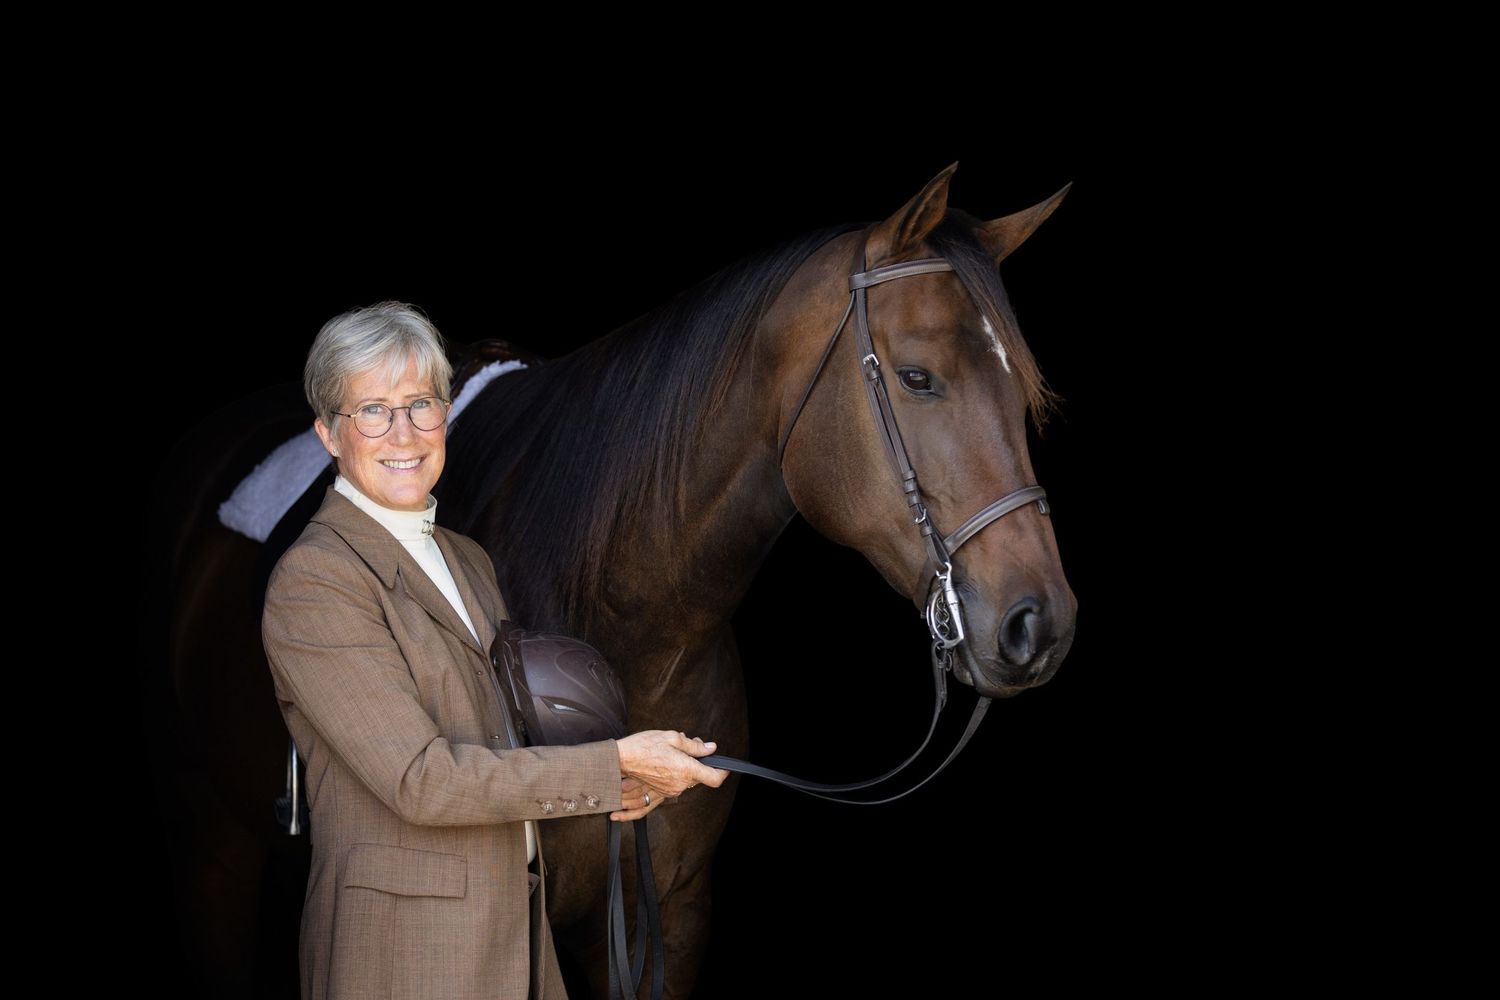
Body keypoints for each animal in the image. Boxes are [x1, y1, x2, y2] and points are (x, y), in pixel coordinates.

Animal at [150, 161, 1076, 998]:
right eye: (918, 377)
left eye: (1026, 390)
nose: (1040, 624)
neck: (632, 617)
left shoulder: (672, 913)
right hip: (213, 846)